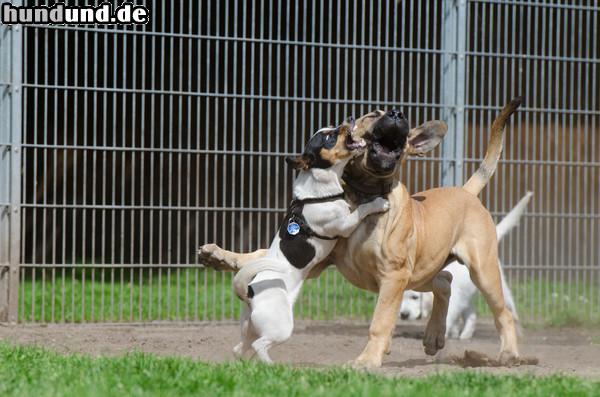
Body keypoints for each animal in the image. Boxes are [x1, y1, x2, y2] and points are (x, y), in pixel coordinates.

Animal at [234, 116, 390, 360]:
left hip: (249, 328)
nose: (349, 118)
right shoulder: (344, 223)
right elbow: (361, 209)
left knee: (240, 349)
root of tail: (249, 294)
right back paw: (270, 364)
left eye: (332, 127)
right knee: (260, 345)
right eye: (329, 137)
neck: (318, 192)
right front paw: (379, 203)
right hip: (281, 327)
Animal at [400, 190, 532, 338]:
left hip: (494, 284)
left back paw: (517, 329)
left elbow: (445, 316)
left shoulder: (452, 298)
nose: (404, 315)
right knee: (472, 315)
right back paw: (464, 335)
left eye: (415, 298)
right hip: (467, 292)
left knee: (509, 308)